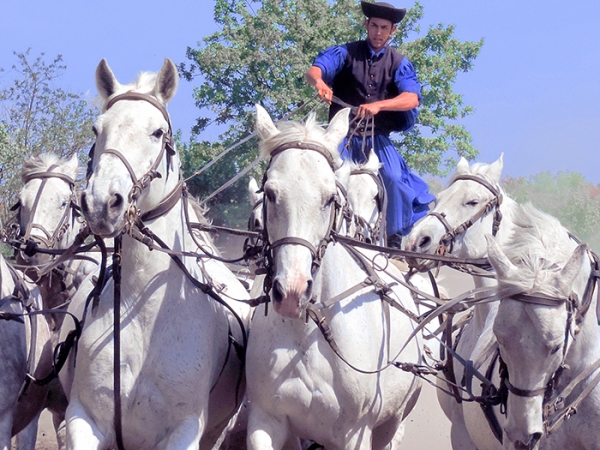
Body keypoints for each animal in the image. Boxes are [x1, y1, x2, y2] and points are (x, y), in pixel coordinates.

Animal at [64, 58, 252, 450]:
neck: (142, 312)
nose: (101, 203)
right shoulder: (84, 419)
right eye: (97, 128)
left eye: (157, 132)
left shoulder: (184, 430)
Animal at [245, 103, 422, 448]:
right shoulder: (265, 421)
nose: (292, 293)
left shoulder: (356, 433)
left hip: (393, 420)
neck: (306, 334)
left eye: (329, 198)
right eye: (270, 193)